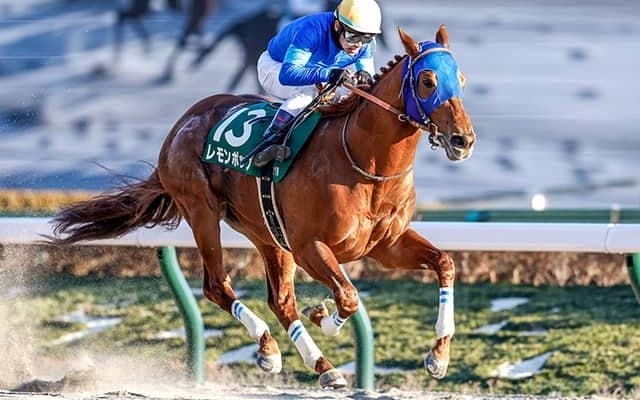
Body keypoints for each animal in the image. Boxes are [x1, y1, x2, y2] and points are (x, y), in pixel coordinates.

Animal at [48, 26, 475, 388]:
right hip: (203, 213)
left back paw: (317, 365)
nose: (463, 140)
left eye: (461, 80)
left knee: (280, 301)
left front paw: (438, 357)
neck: (364, 162)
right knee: (217, 286)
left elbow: (444, 264)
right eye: (428, 80)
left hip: (267, 232)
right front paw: (324, 316)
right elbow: (348, 296)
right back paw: (273, 348)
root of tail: (181, 125)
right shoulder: (309, 247)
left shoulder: (385, 245)